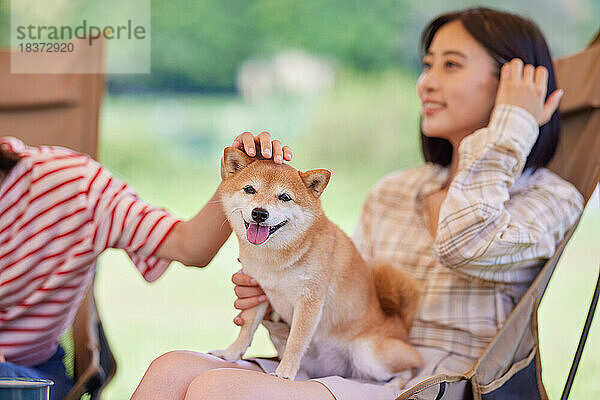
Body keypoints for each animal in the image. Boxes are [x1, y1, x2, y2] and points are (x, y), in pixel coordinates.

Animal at [212, 147, 422, 382]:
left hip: (368, 355)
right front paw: (231, 353)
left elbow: (296, 340)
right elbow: (247, 328)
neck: (275, 259)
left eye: (284, 197)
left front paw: (285, 373)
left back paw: (399, 383)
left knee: (412, 368)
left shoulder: (309, 301)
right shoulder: (257, 290)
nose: (259, 213)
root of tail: (399, 325)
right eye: (249, 189)